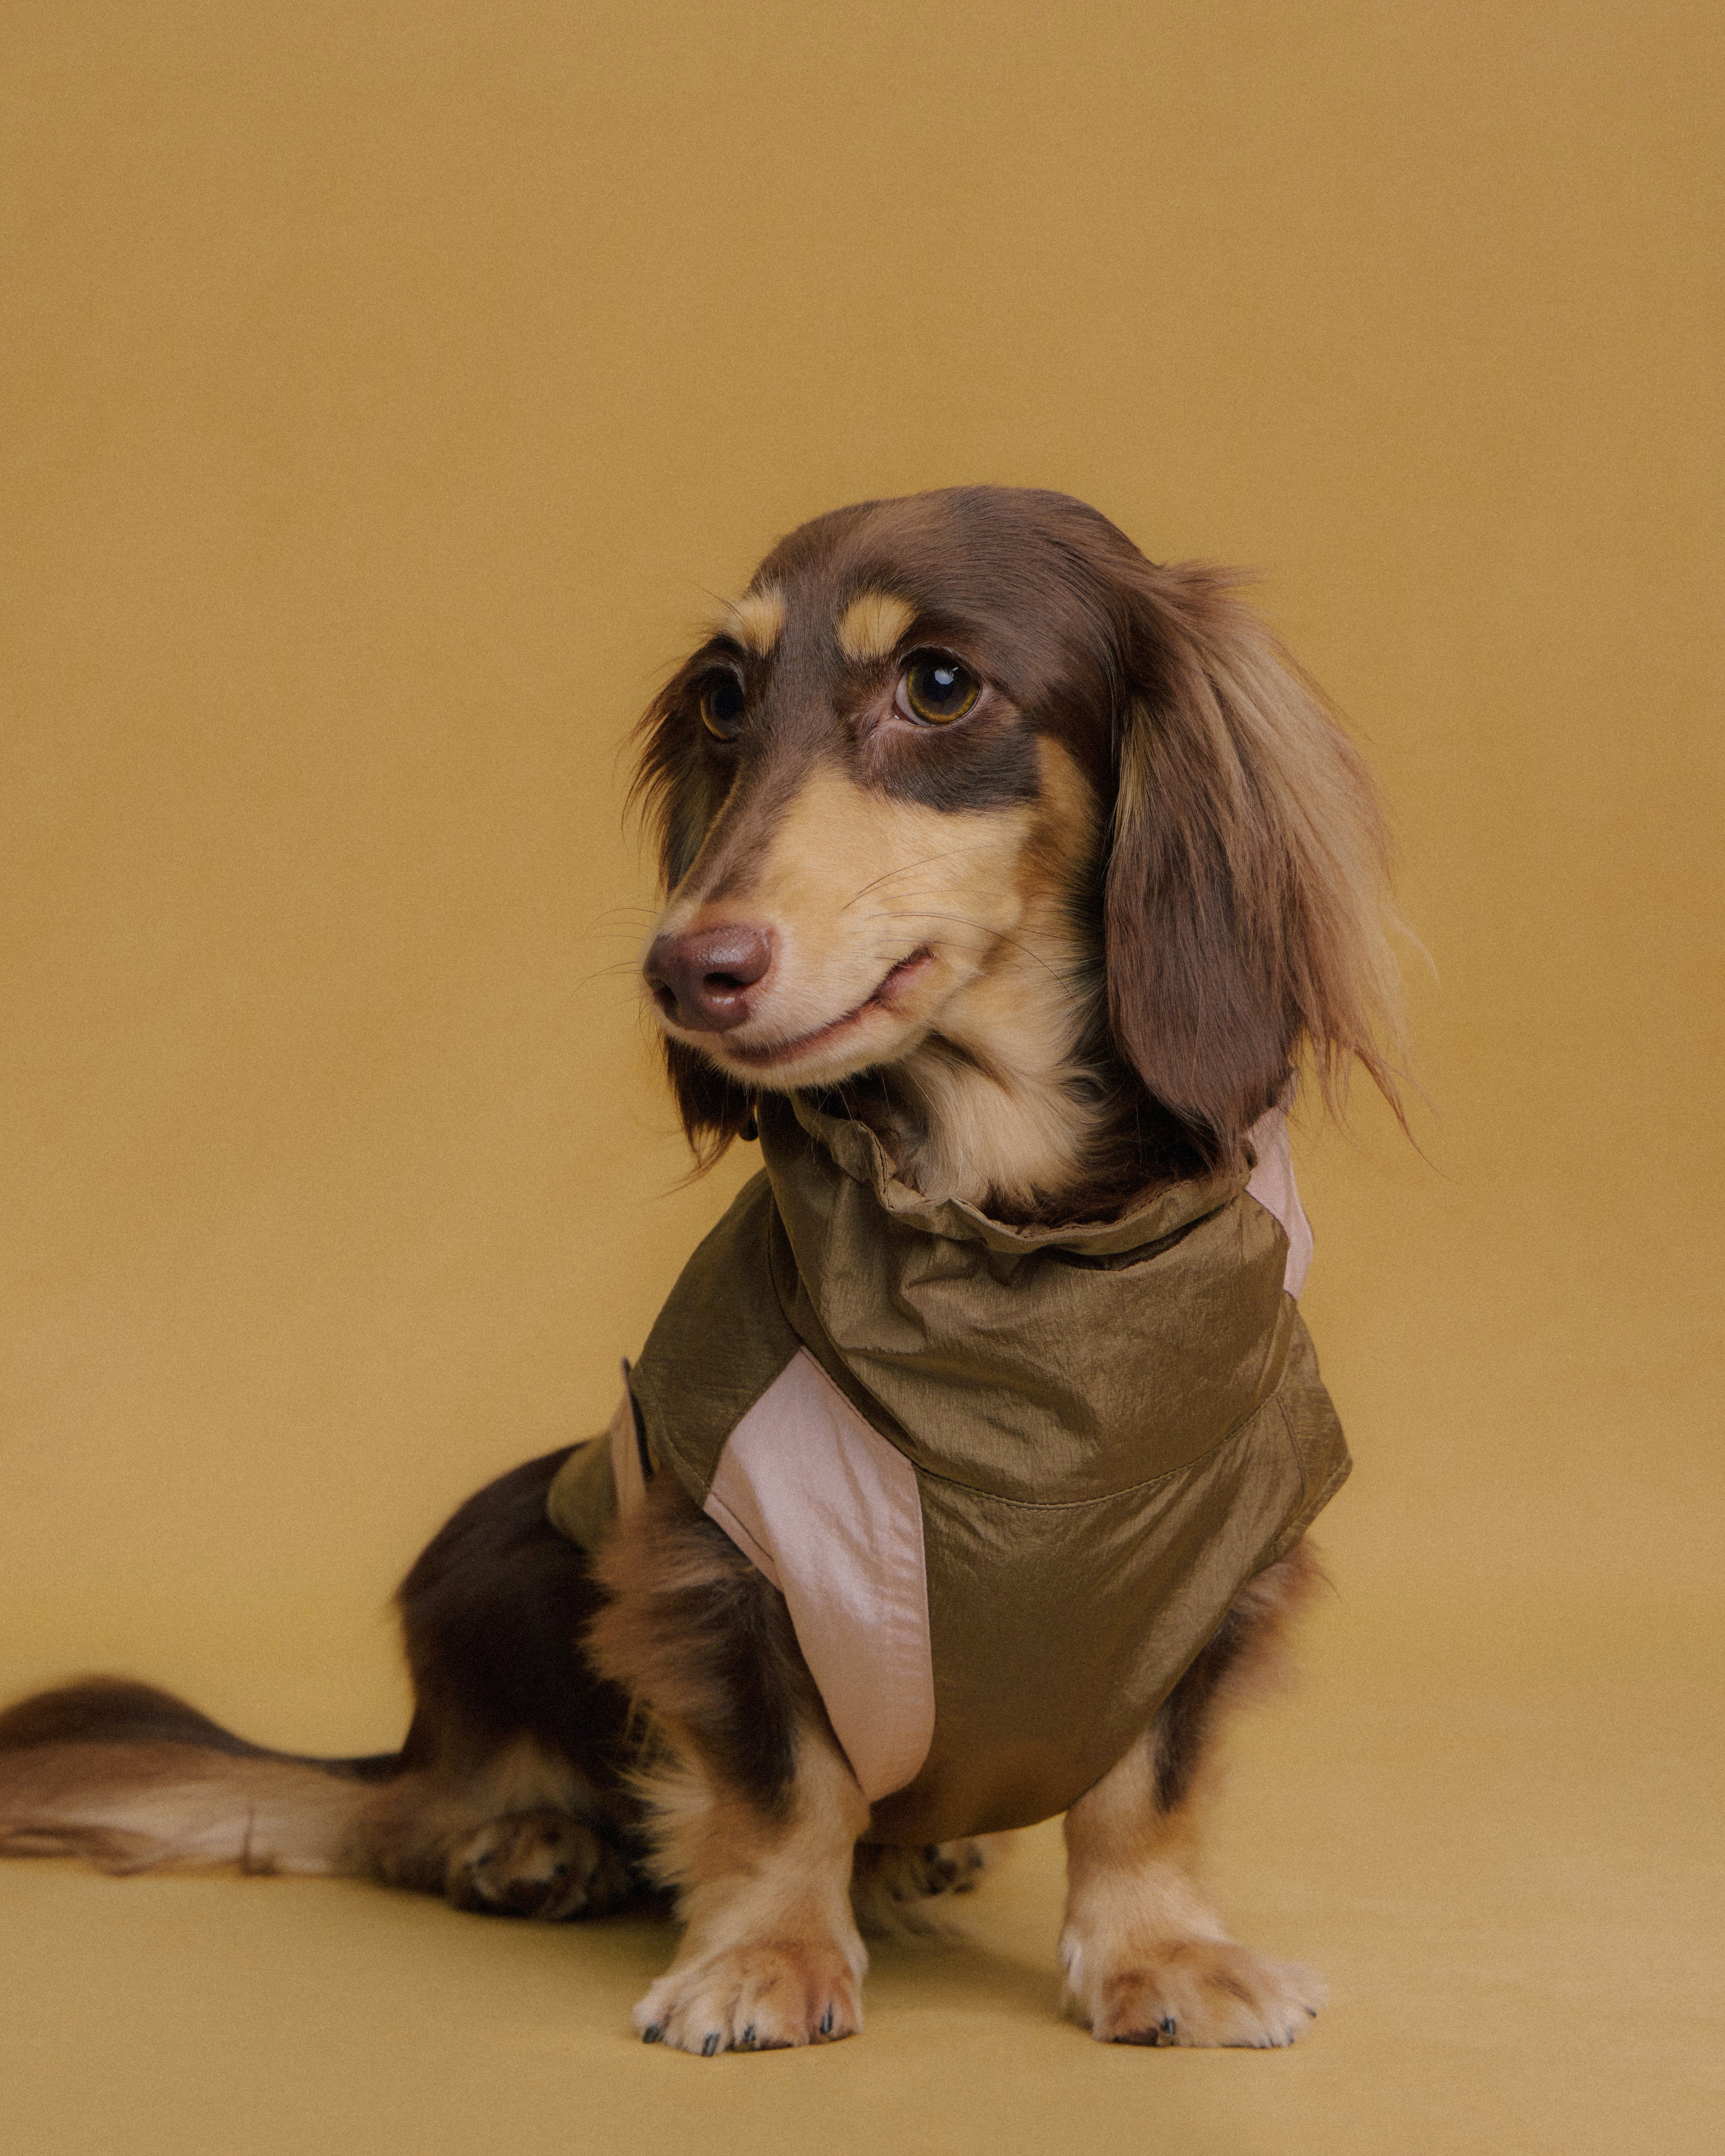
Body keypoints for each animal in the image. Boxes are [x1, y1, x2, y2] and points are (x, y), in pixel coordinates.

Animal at [0, 489, 1397, 2052]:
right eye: (725, 698)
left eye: (939, 685)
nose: (684, 971)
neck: (1014, 1278)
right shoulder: (719, 1547)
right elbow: (781, 1788)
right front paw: (768, 1957)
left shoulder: (1212, 1569)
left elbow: (1145, 1790)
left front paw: (1165, 1953)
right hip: (497, 1543)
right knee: (407, 1823)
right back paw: (526, 1841)